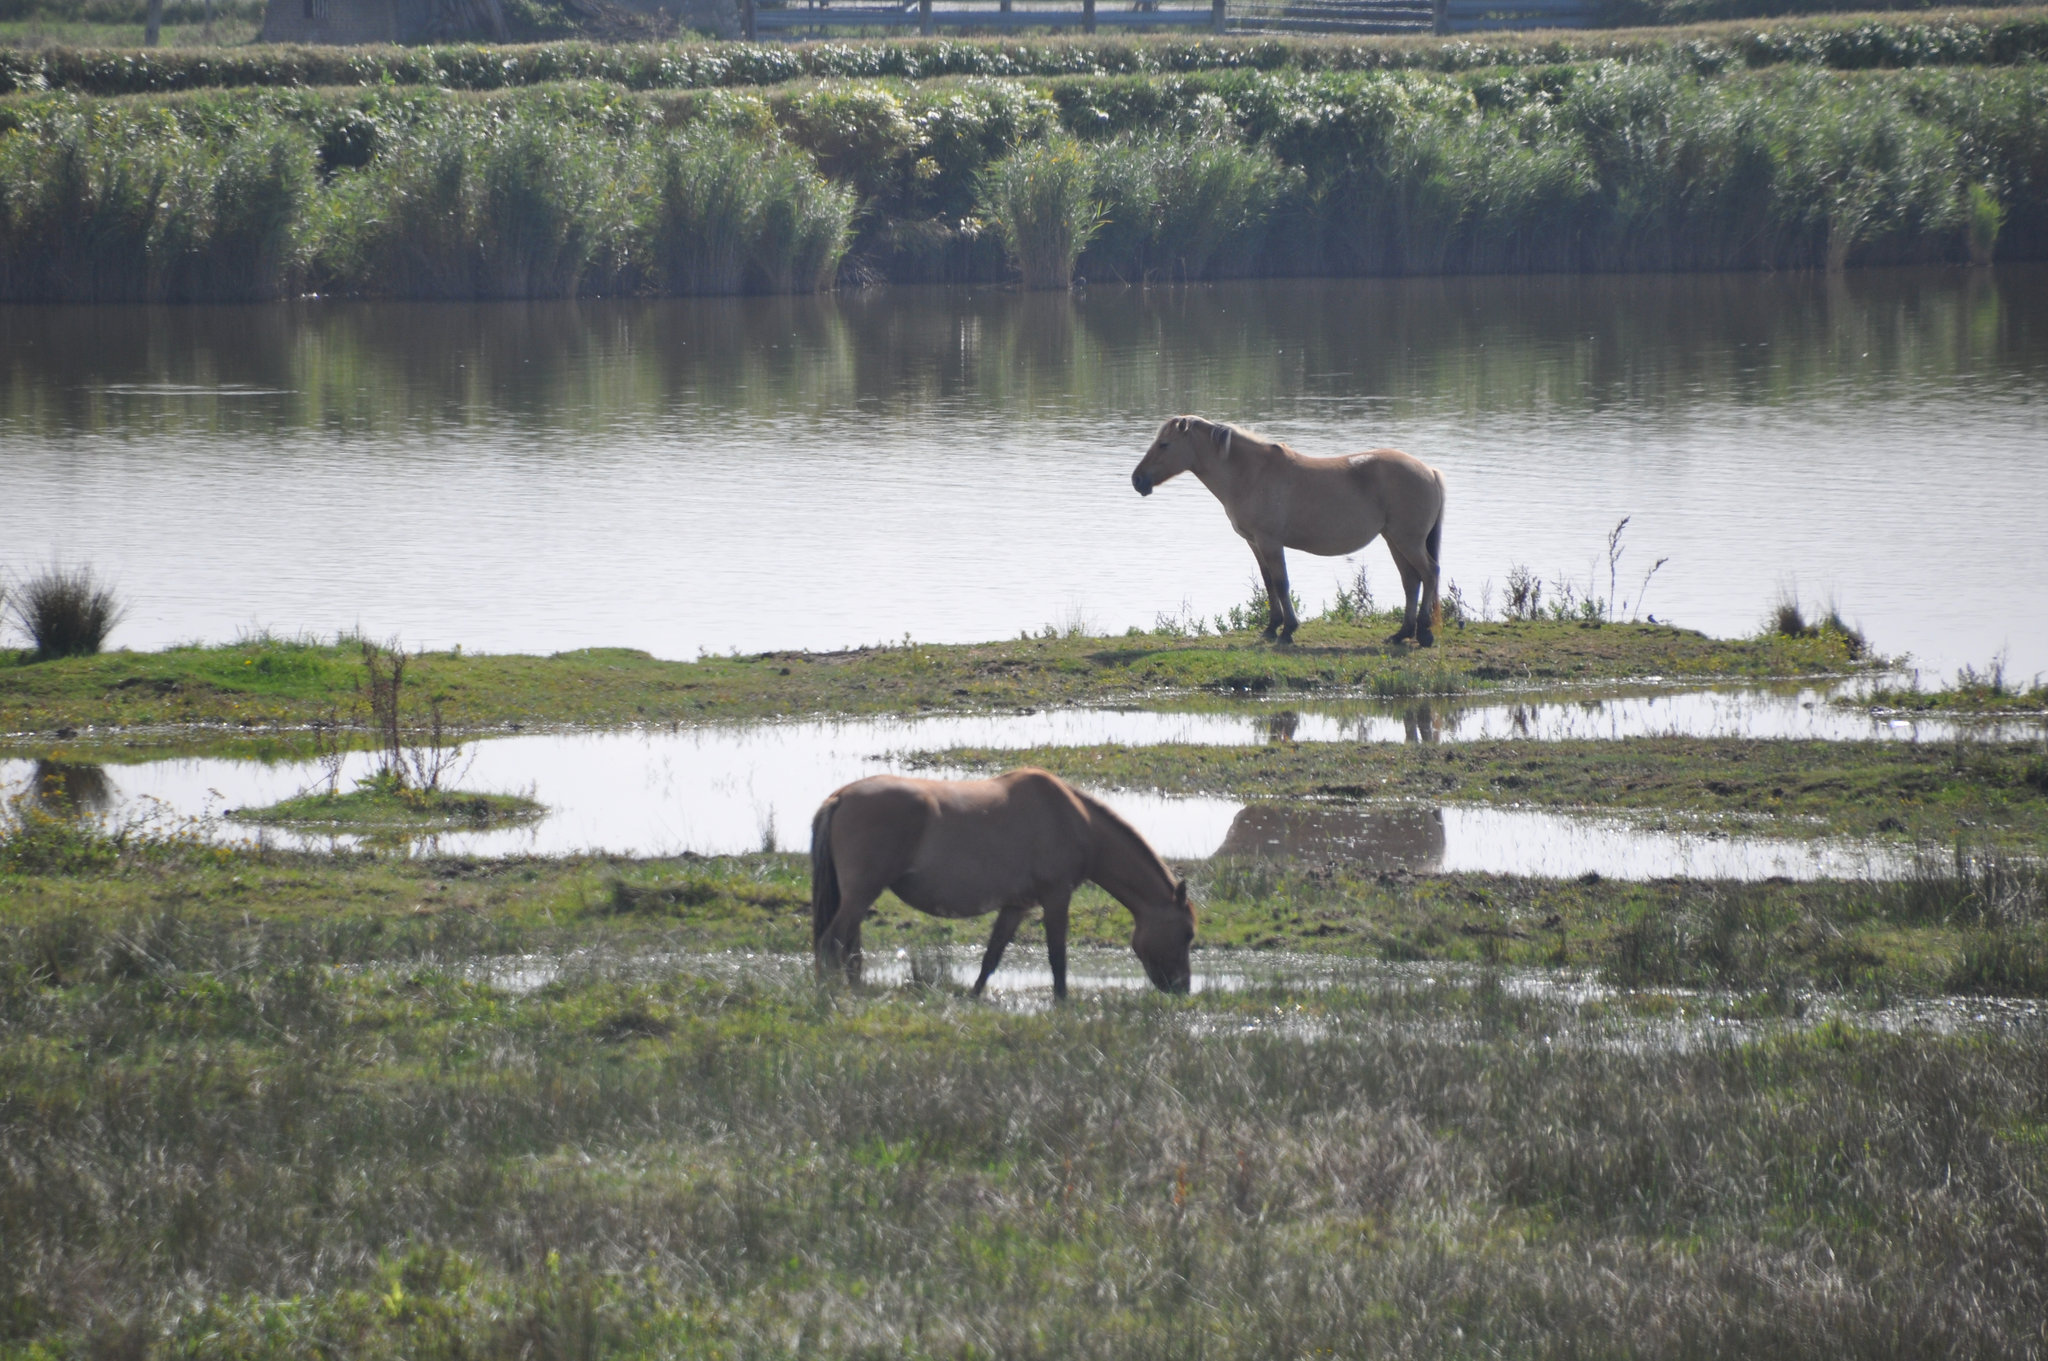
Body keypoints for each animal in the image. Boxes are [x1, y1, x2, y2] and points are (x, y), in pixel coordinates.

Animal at [811, 765, 1196, 998]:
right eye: (1189, 934)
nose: (1181, 988)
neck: (1076, 821)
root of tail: (840, 797)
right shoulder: (1056, 898)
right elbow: (1057, 957)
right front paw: (1062, 1003)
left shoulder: (1016, 906)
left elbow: (992, 957)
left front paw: (974, 997)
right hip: (861, 894)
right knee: (832, 943)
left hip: (856, 897)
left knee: (848, 949)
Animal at [1130, 417, 1449, 646]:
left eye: (1164, 445)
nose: (1137, 479)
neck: (1250, 473)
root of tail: (1430, 471)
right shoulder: (1255, 543)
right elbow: (1269, 582)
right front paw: (1271, 628)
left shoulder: (1270, 543)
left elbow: (1281, 583)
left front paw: (1287, 631)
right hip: (1394, 539)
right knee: (1411, 581)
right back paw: (1402, 633)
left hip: (1408, 541)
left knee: (1429, 573)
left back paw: (1424, 633)